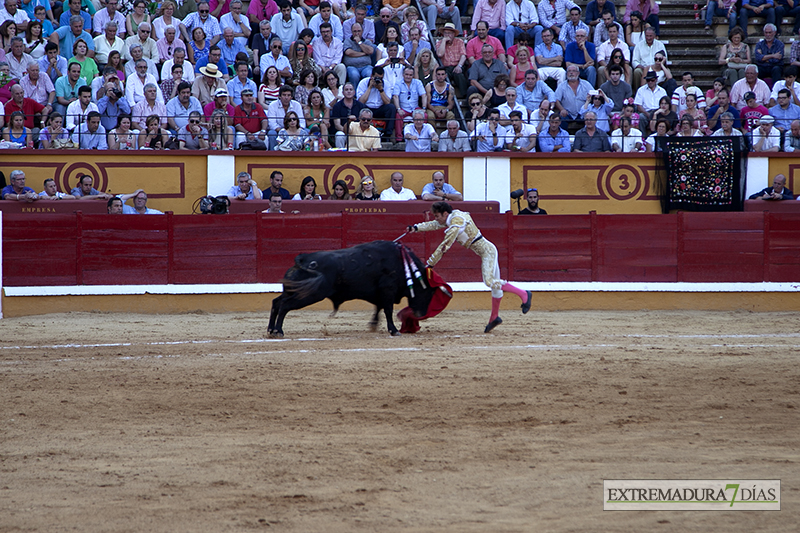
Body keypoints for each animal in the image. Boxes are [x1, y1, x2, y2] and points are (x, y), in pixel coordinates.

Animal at [268, 242, 438, 336]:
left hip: (292, 290)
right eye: (428, 292)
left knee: (277, 303)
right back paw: (278, 331)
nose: (421, 314)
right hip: (310, 294)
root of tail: (303, 259)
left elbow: (379, 307)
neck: (401, 262)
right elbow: (388, 309)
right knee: (285, 305)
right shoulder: (388, 289)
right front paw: (394, 330)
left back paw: (271, 330)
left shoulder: (379, 292)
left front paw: (373, 325)